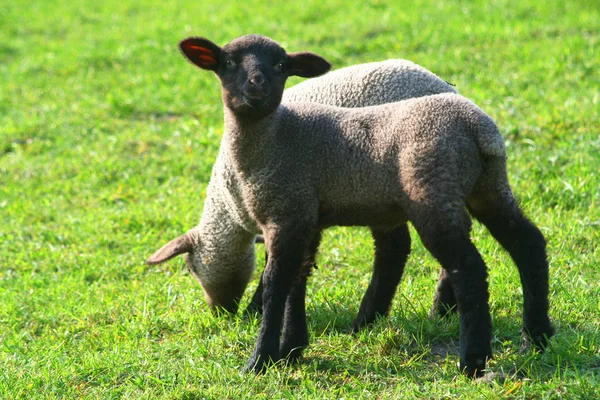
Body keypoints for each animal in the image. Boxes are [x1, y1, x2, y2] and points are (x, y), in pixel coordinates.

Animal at [149, 33, 552, 376]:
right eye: (229, 62)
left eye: (280, 64)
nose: (258, 84)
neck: (274, 139)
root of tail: (479, 126)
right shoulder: (304, 218)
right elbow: (297, 279)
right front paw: (291, 349)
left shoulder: (286, 213)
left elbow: (276, 282)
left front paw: (259, 359)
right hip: (487, 189)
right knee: (528, 244)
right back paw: (537, 337)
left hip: (431, 193)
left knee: (467, 267)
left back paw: (472, 360)